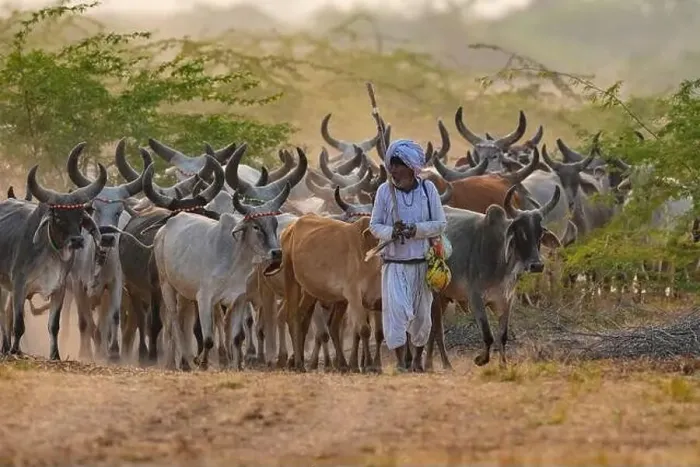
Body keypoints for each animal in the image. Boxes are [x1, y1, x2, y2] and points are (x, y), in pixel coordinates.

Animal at [0, 154, 107, 360]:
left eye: (80, 216)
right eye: (58, 217)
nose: (77, 240)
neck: (49, 255)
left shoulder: (60, 288)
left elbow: (53, 326)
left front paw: (55, 355)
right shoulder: (19, 285)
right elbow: (18, 324)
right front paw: (16, 351)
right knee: (4, 314)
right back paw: (6, 348)